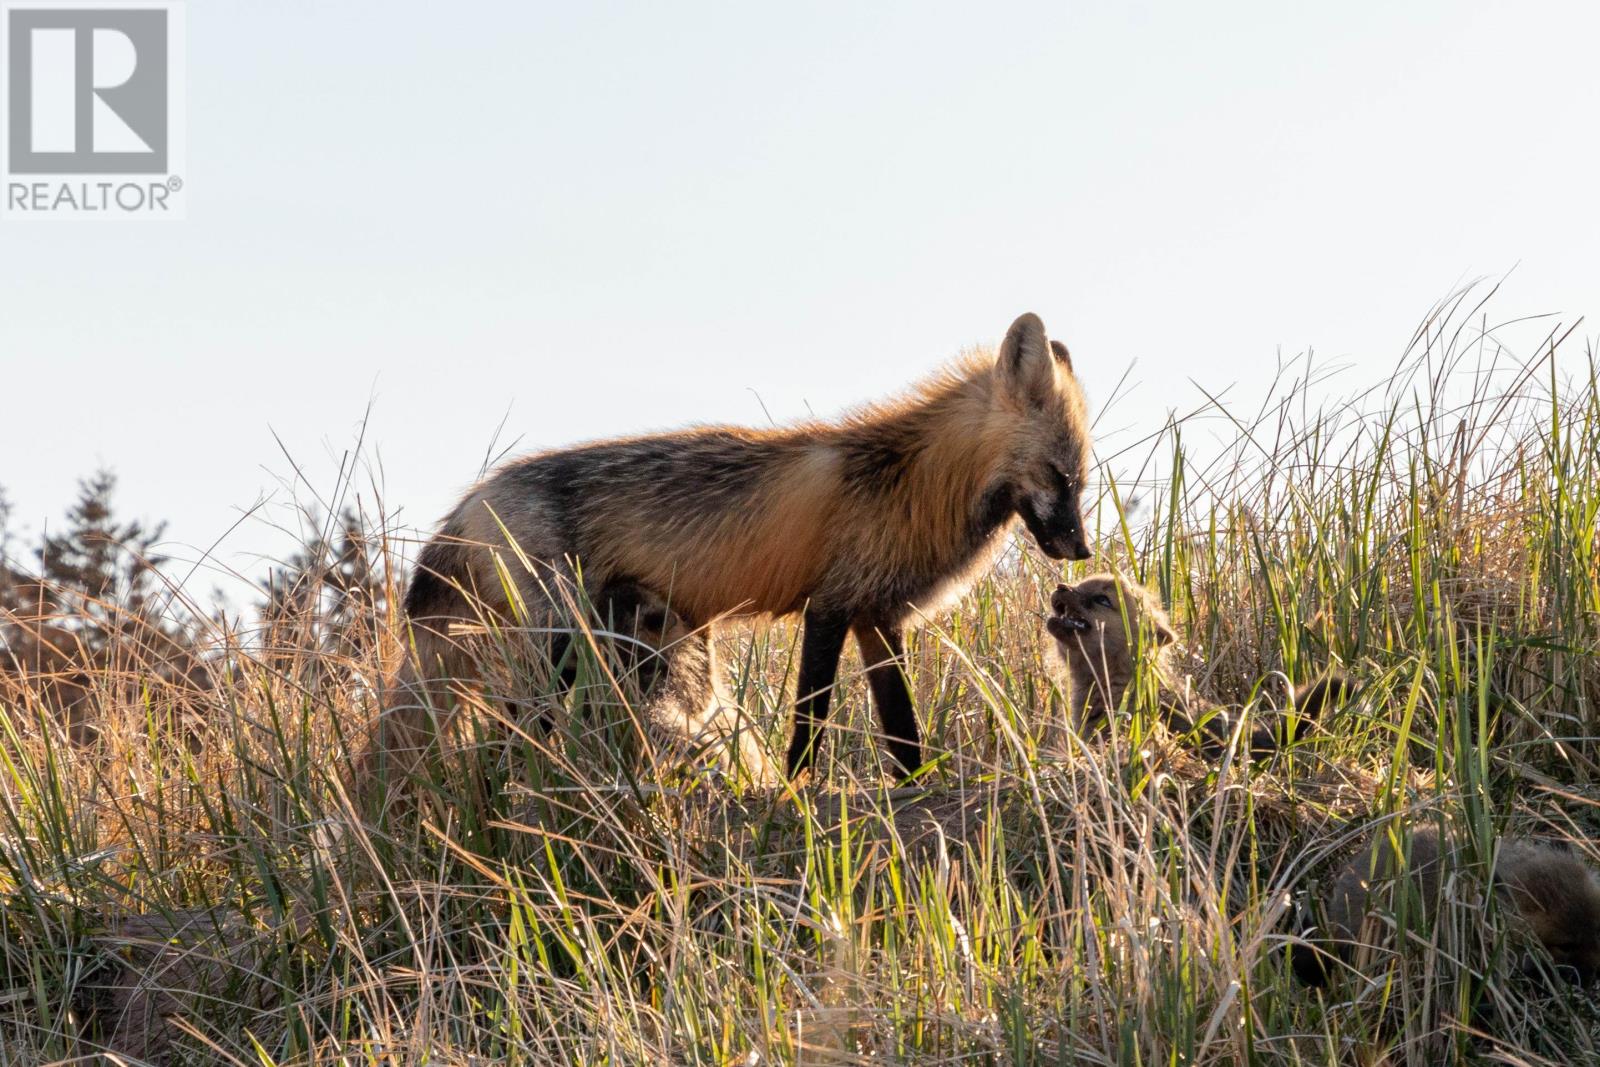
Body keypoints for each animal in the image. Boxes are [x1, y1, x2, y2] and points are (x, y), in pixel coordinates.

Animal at [368, 313, 1094, 780]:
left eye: (1082, 480)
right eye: (1060, 477)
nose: (1080, 552)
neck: (913, 479)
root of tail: (475, 495)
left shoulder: (878, 619)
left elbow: (903, 732)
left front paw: (913, 791)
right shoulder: (828, 607)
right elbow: (810, 723)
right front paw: (799, 794)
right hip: (559, 646)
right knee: (509, 734)